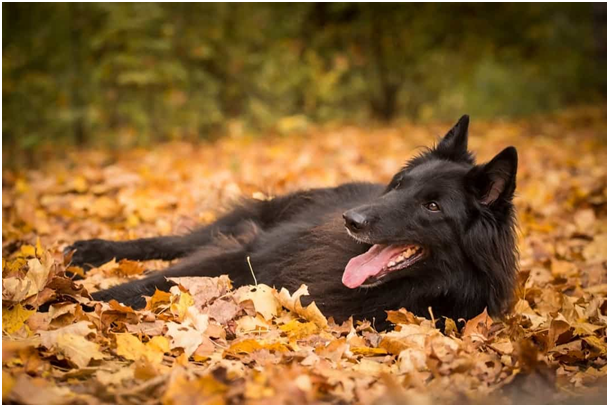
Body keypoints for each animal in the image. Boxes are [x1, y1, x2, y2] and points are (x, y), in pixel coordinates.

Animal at [67, 116, 516, 330]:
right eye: (400, 185)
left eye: (433, 206)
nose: (351, 220)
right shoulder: (251, 253)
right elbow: (152, 279)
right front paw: (80, 297)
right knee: (172, 242)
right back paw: (89, 250)